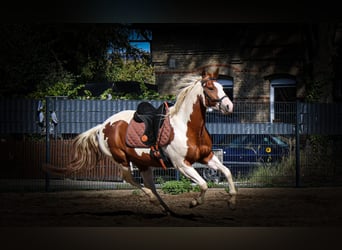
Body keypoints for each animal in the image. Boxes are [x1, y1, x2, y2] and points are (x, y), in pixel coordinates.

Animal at [44, 69, 238, 215]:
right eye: (210, 88)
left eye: (222, 87)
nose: (229, 106)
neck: (187, 126)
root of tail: (102, 126)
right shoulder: (182, 164)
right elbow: (204, 184)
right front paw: (194, 202)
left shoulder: (207, 157)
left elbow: (227, 172)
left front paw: (232, 201)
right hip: (122, 160)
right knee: (130, 179)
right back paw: (154, 201)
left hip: (143, 163)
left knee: (150, 184)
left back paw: (166, 209)